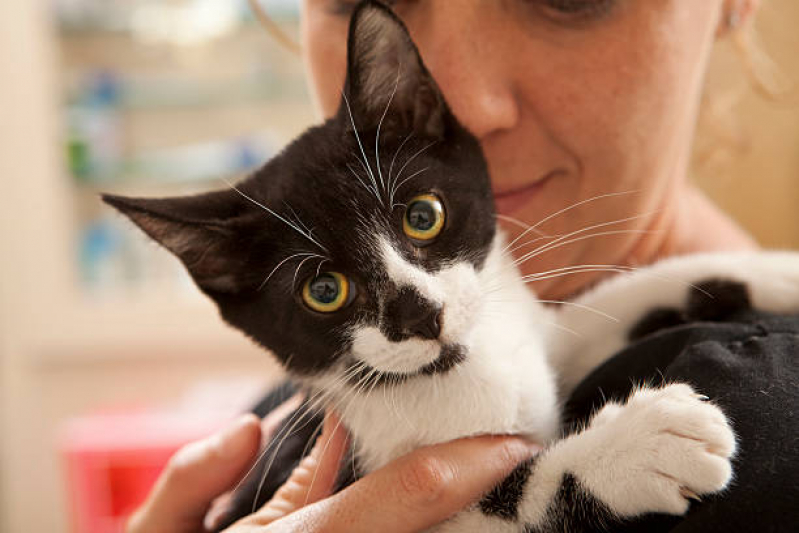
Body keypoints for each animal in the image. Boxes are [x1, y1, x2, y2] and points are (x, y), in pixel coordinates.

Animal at [104, 2, 799, 528]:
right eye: (324, 290)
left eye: (422, 216)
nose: (419, 315)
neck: (454, 374)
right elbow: (514, 490)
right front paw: (641, 445)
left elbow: (608, 300)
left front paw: (778, 270)